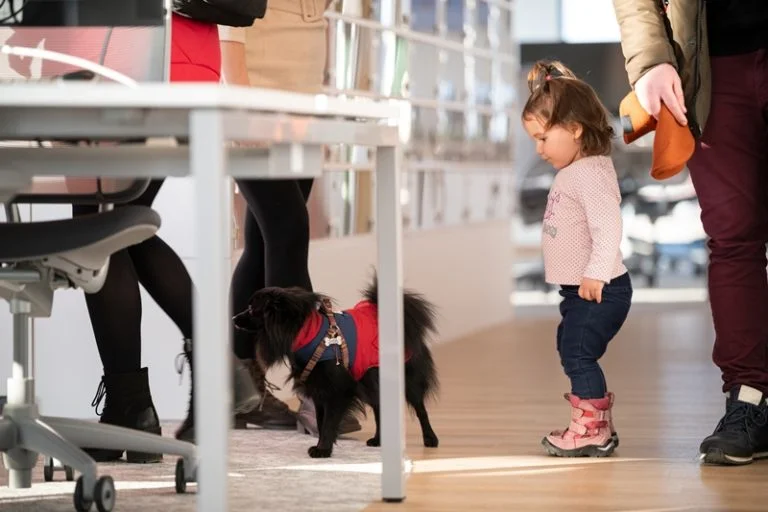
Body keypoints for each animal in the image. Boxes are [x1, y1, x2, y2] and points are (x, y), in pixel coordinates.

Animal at [233, 278, 439, 458]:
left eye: (252, 309)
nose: (234, 317)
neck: (308, 333)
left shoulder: (338, 390)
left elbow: (329, 422)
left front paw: (323, 450)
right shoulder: (320, 391)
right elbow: (321, 420)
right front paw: (322, 446)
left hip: (406, 380)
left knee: (420, 409)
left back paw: (430, 438)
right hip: (370, 380)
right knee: (380, 407)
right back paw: (379, 440)